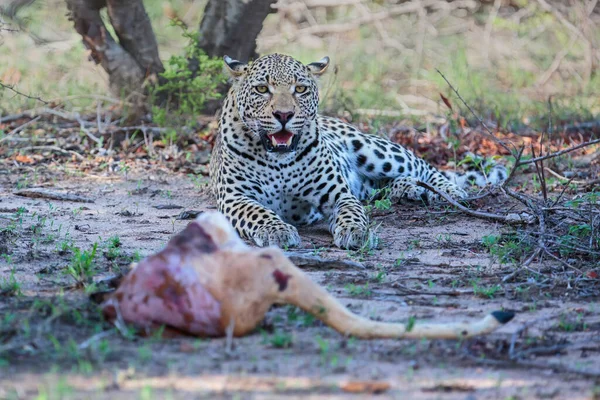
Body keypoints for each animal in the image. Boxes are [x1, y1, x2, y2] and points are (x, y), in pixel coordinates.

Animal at [209, 52, 504, 248]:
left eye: (300, 89)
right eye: (262, 89)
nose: (284, 115)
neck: (279, 161)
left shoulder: (339, 194)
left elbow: (352, 212)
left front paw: (356, 233)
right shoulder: (236, 197)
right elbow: (258, 213)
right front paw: (277, 230)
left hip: (376, 151)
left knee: (424, 166)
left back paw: (448, 192)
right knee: (380, 188)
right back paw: (408, 190)